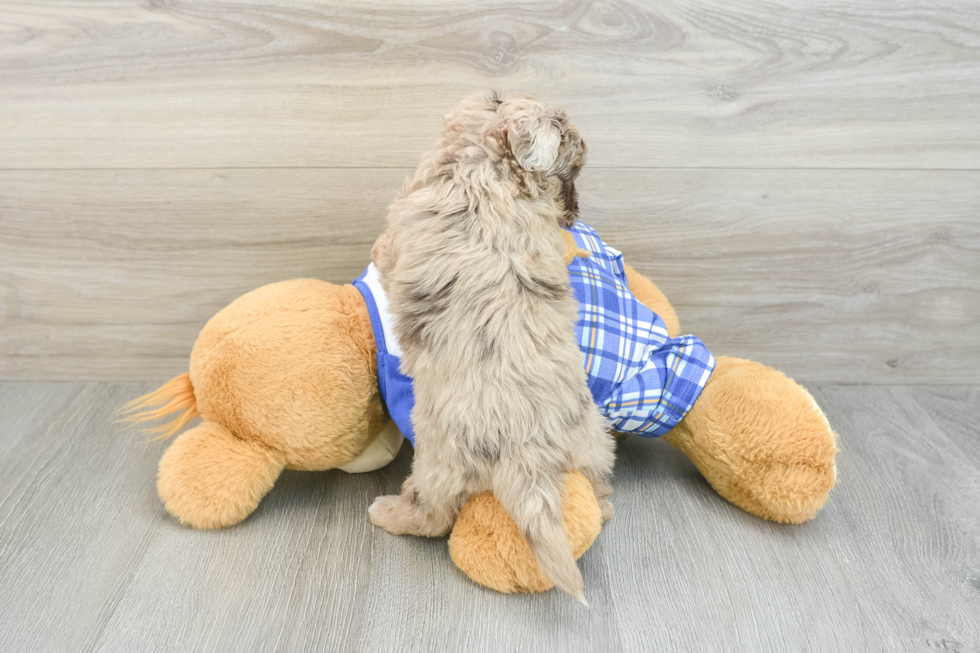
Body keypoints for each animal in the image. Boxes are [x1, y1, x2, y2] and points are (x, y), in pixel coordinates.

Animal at [368, 91, 612, 600]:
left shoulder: (401, 229)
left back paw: (387, 513)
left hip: (437, 460)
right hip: (594, 441)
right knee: (600, 490)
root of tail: (528, 449)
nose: (573, 217)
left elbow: (384, 250)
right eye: (569, 176)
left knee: (431, 516)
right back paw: (602, 507)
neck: (496, 171)